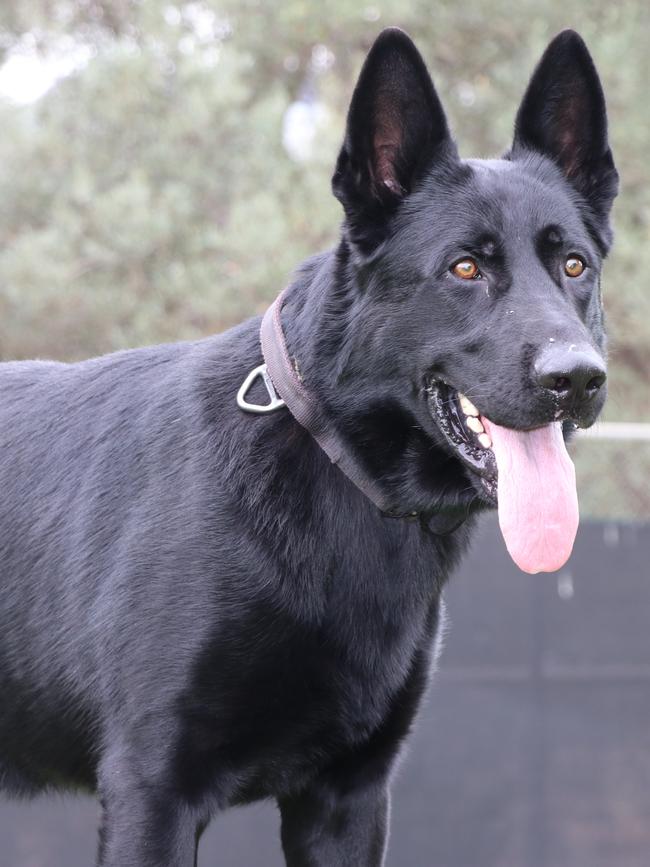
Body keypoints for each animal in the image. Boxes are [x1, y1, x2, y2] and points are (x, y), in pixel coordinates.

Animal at [0, 27, 616, 867]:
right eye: (465, 267)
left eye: (574, 265)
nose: (577, 379)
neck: (333, 462)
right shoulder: (151, 790)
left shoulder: (347, 799)